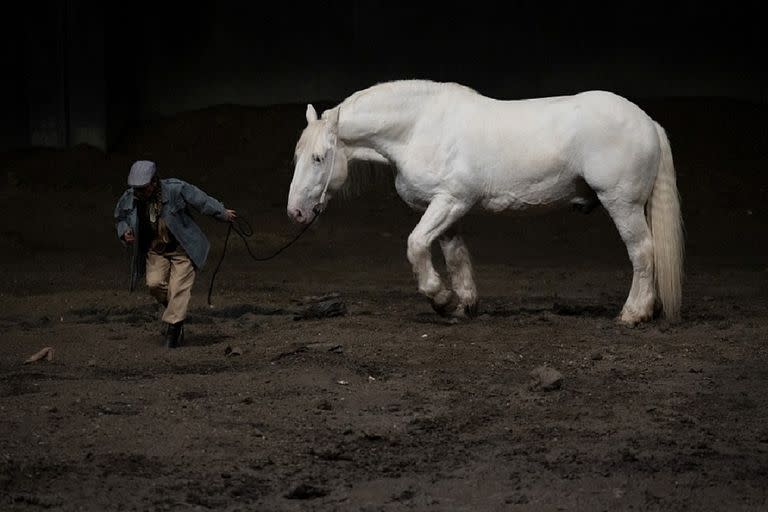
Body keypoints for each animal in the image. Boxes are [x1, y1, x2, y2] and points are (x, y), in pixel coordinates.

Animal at [288, 82, 684, 326]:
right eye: (298, 156)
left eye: (319, 158)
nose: (296, 212)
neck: (418, 128)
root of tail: (647, 121)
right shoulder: (447, 208)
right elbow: (455, 255)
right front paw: (463, 304)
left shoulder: (451, 201)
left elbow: (416, 245)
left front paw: (440, 299)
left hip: (622, 203)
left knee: (642, 252)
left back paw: (633, 313)